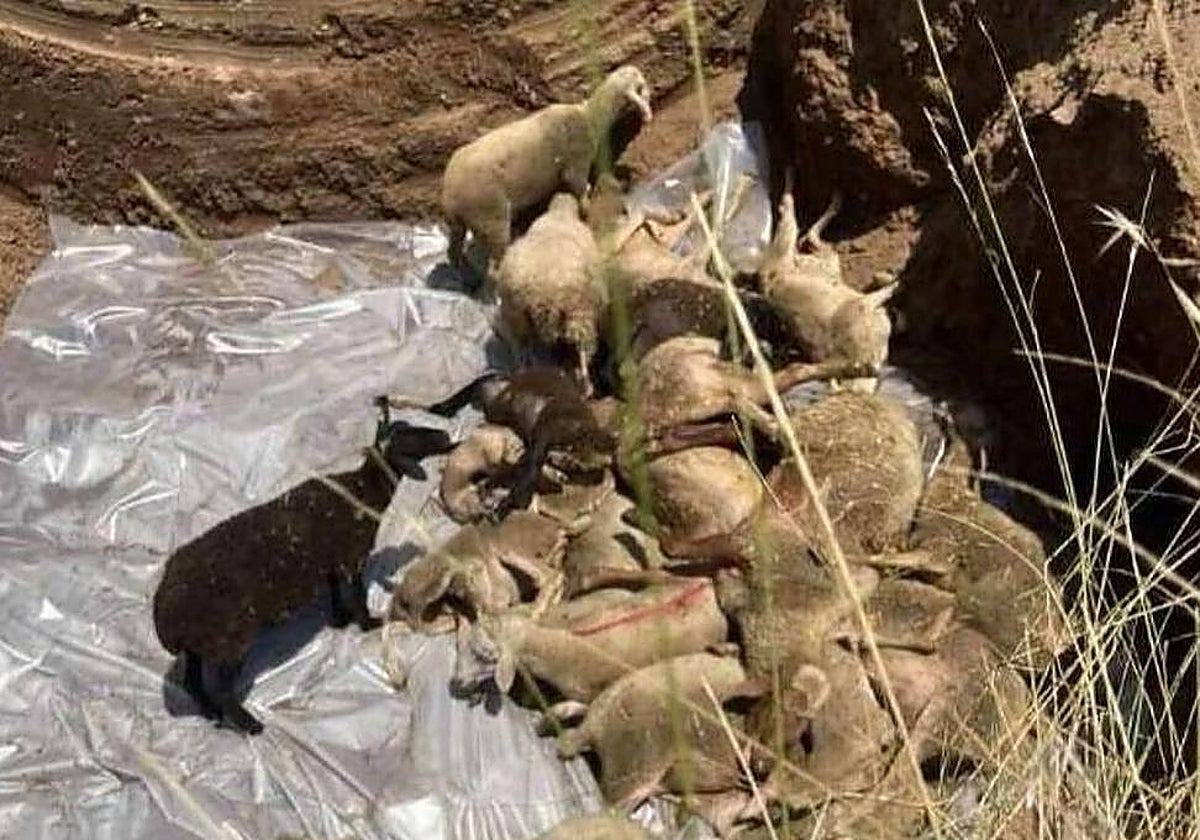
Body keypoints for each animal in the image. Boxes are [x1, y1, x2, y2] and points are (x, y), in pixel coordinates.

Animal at [152, 404, 453, 735]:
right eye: (410, 435)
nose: (446, 435)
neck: (363, 490)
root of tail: (165, 617)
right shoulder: (352, 557)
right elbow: (358, 594)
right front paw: (369, 623)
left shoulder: (333, 561)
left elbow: (335, 590)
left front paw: (339, 619)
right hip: (228, 640)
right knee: (219, 688)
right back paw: (248, 724)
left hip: (199, 644)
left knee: (191, 681)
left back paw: (211, 715)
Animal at [441, 65, 653, 274]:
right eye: (639, 84)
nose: (634, 67)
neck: (589, 116)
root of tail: (449, 197)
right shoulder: (576, 163)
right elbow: (580, 190)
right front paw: (586, 211)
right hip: (489, 214)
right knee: (494, 264)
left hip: (462, 223)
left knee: (454, 252)